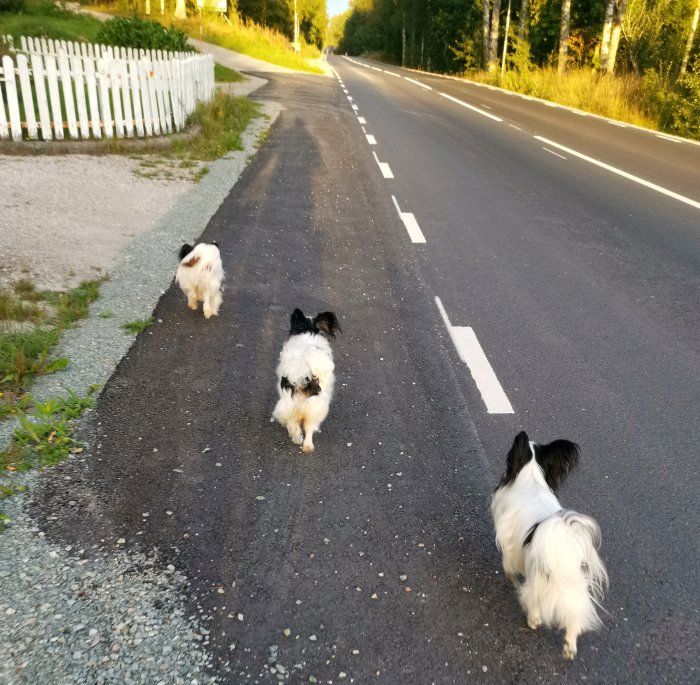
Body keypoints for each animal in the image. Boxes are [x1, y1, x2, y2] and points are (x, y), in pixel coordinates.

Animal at [272, 310, 340, 454]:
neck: (308, 331)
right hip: (315, 407)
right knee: (309, 428)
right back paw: (307, 446)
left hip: (291, 405)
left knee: (296, 424)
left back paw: (297, 438)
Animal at [490, 430, 608, 660]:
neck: (532, 480)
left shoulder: (509, 541)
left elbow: (508, 563)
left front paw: (509, 575)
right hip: (575, 585)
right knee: (575, 614)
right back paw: (569, 647)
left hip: (539, 579)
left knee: (535, 601)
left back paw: (533, 620)